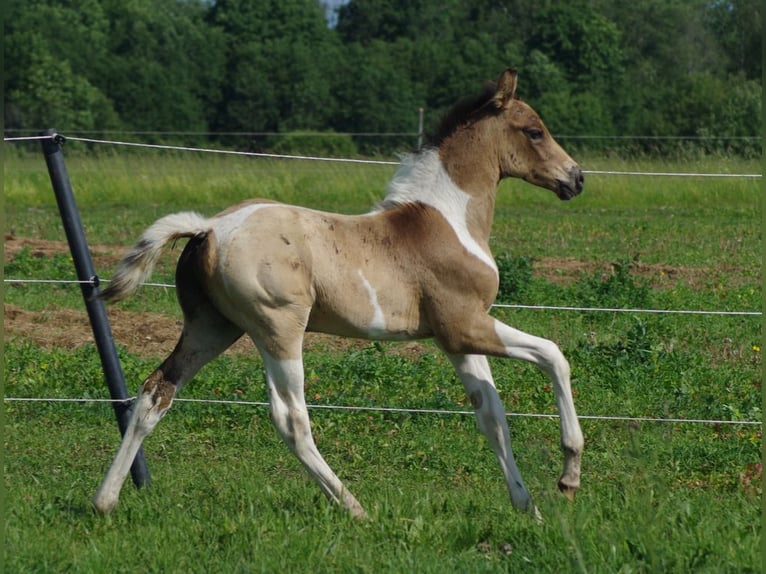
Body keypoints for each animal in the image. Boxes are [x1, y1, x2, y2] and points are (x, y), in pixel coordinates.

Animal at [96, 70, 588, 520]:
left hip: (211, 328)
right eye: (534, 130)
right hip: (278, 329)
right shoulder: (465, 325)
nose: (576, 178)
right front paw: (567, 477)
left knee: (156, 392)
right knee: (290, 418)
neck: (447, 221)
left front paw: (528, 508)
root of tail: (209, 228)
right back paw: (354, 508)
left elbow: (493, 417)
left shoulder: (457, 340)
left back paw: (104, 501)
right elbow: (553, 355)